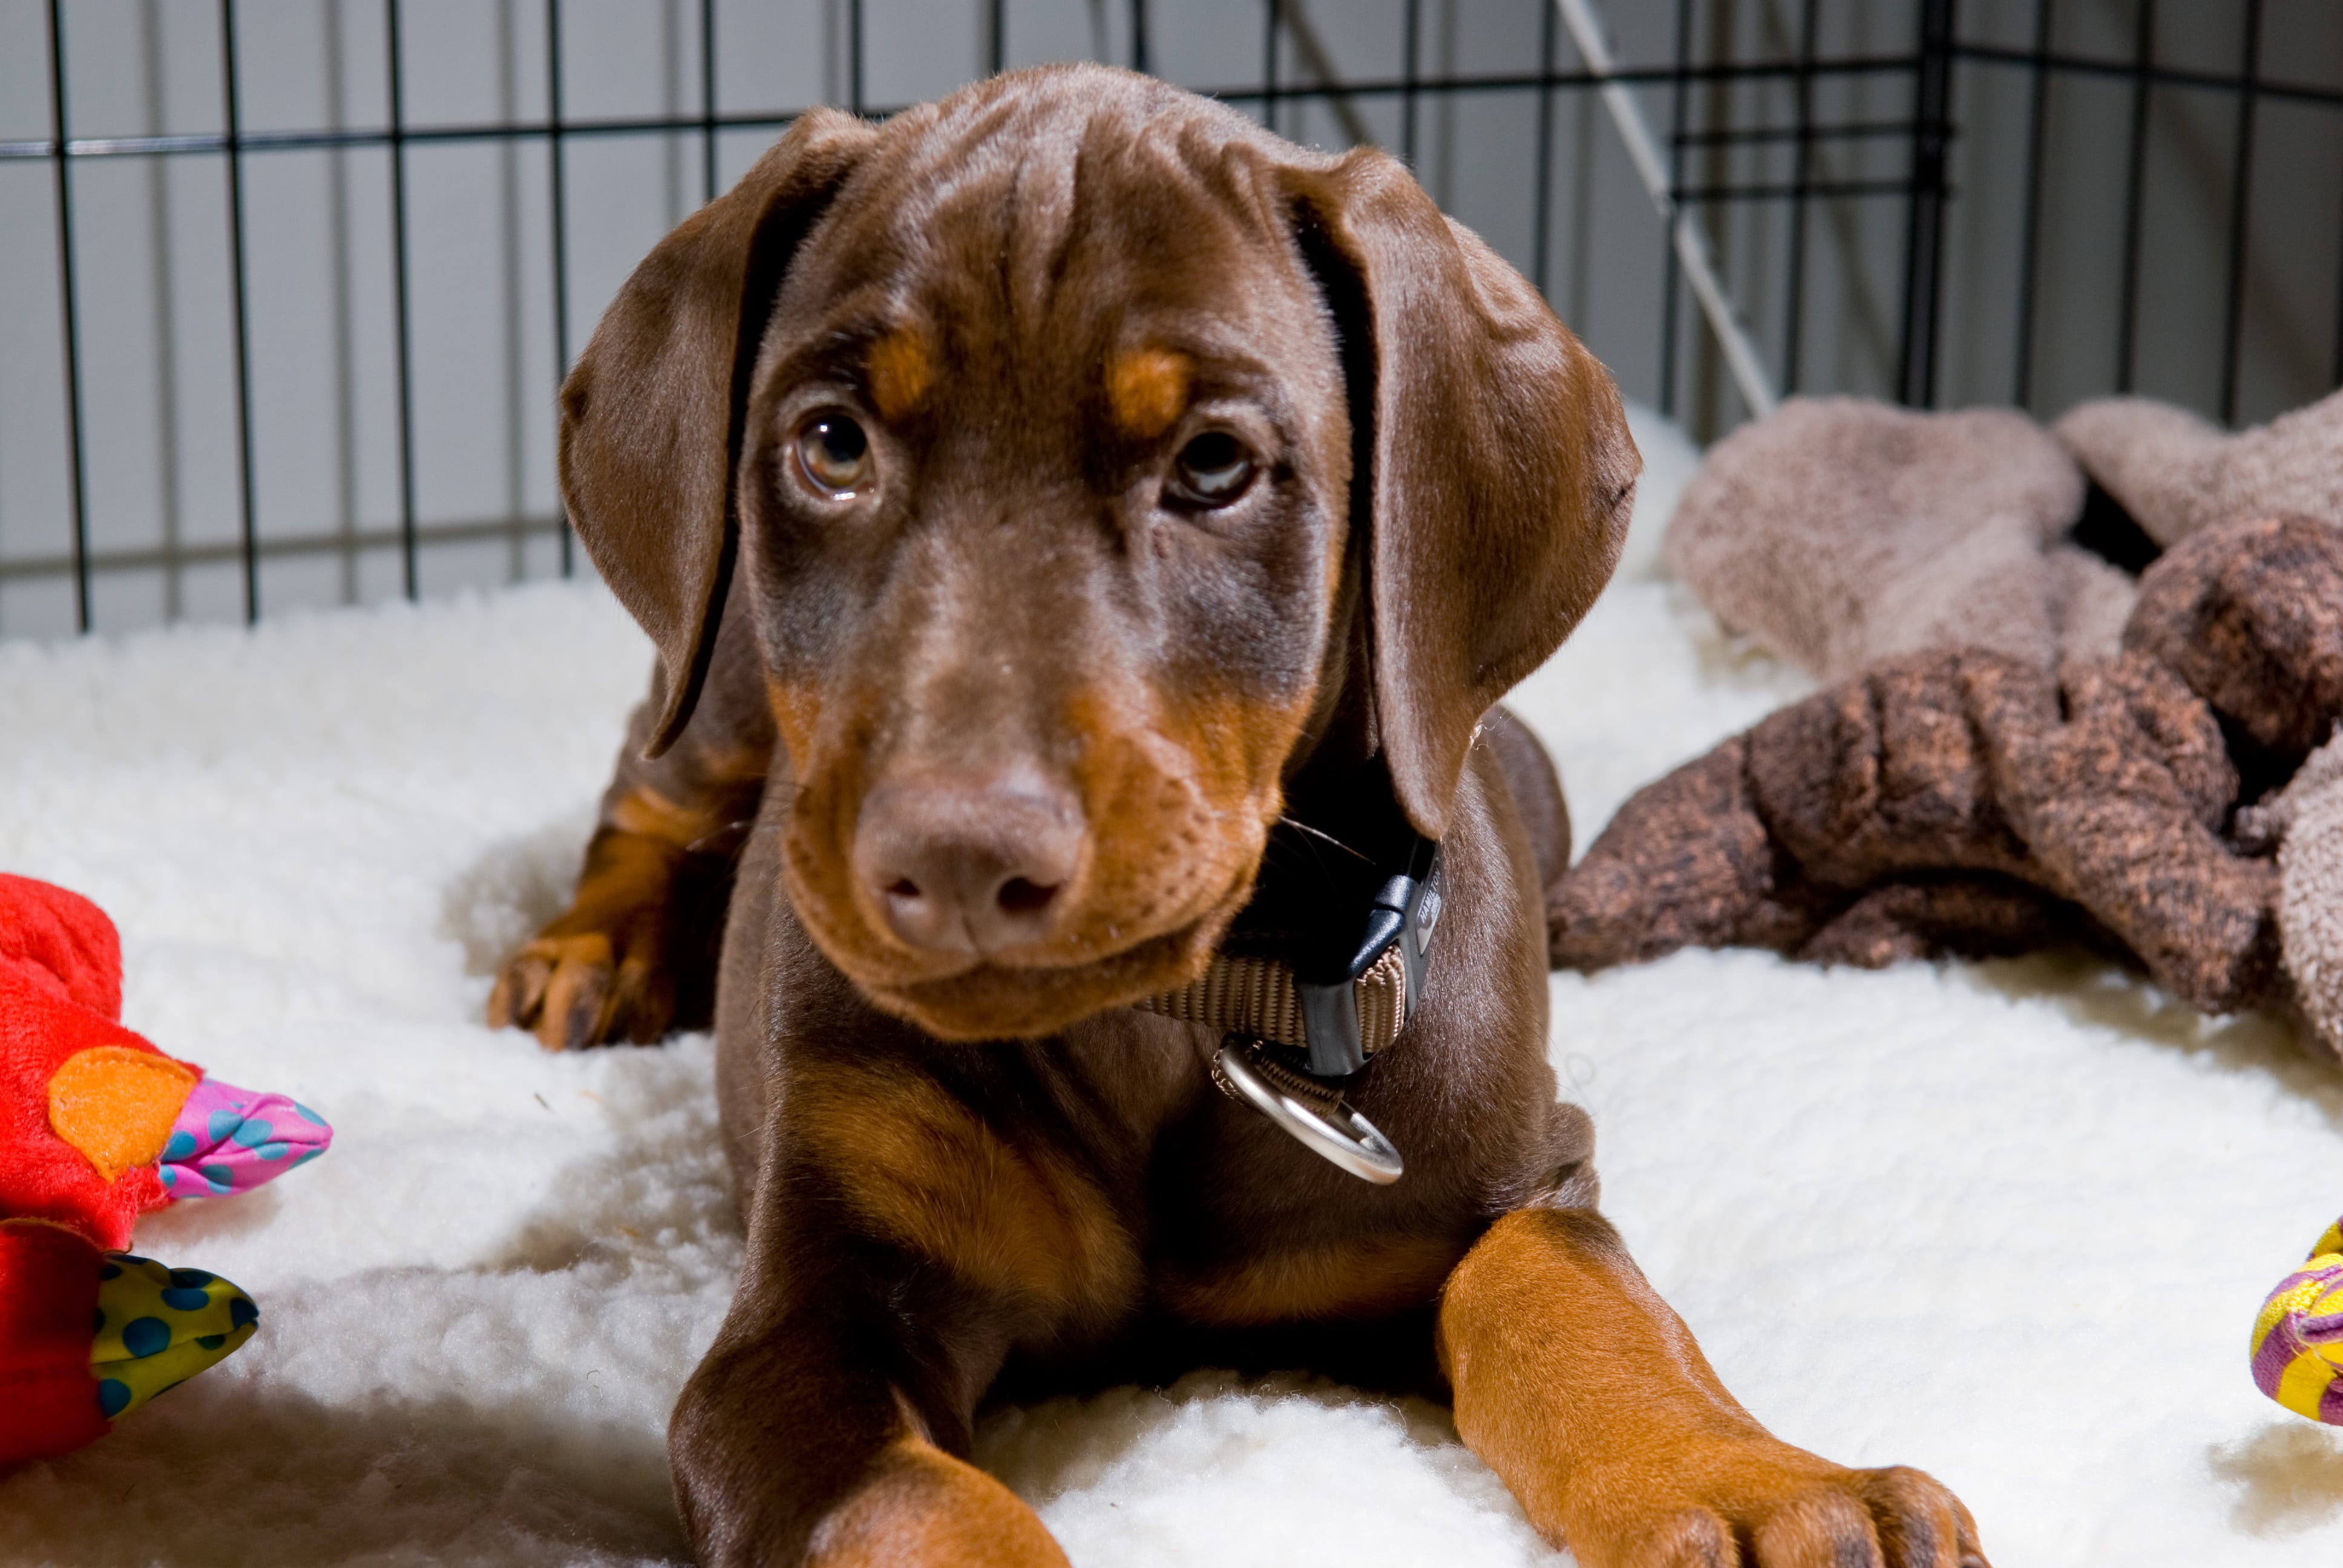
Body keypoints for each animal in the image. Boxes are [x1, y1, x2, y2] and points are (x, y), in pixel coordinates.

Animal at [485, 64, 1987, 1566]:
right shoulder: (809, 1318)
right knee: (650, 788)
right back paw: (591, 954)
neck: (1166, 1028)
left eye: (1213, 465)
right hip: (724, 678)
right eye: (831, 446)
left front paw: (1757, 1487)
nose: (955, 861)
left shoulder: (1516, 1179)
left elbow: (1579, 1303)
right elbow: (915, 1504)